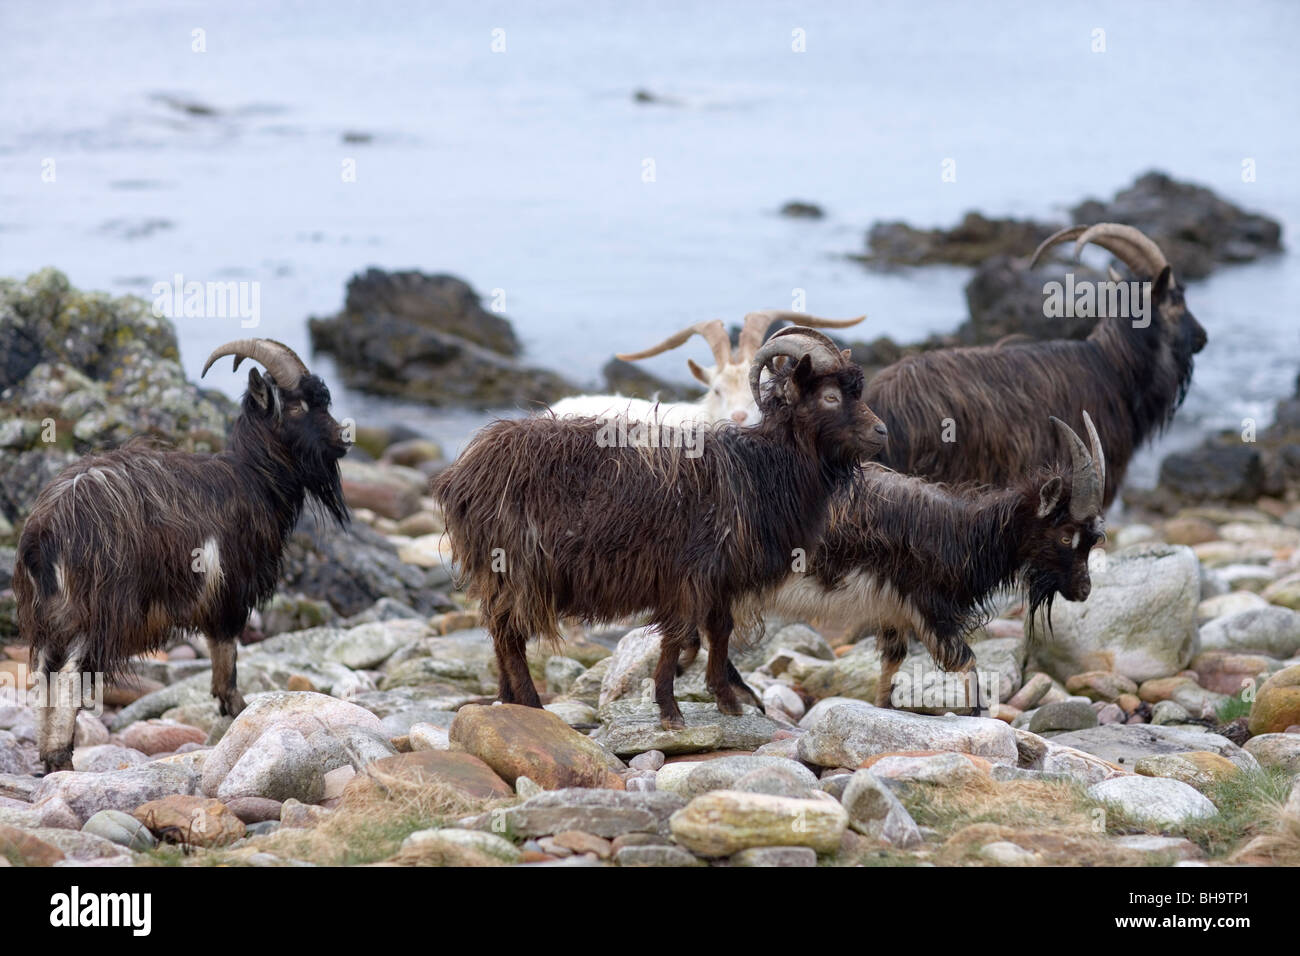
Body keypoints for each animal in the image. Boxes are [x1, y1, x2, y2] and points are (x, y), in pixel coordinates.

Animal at [13, 340, 351, 775]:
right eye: (298, 407)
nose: (343, 439)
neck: (251, 478)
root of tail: (45, 532)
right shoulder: (229, 593)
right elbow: (226, 659)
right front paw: (237, 710)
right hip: (100, 612)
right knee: (71, 675)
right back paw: (62, 761)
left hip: (49, 615)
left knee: (43, 674)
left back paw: (48, 757)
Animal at [431, 325, 889, 728]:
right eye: (830, 396)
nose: (881, 431)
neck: (762, 466)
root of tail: (463, 472)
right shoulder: (687, 574)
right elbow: (676, 637)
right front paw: (671, 711)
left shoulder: (718, 577)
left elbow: (719, 631)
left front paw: (726, 701)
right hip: (518, 566)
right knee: (509, 634)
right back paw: (531, 705)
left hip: (497, 571)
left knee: (497, 630)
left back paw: (506, 699)